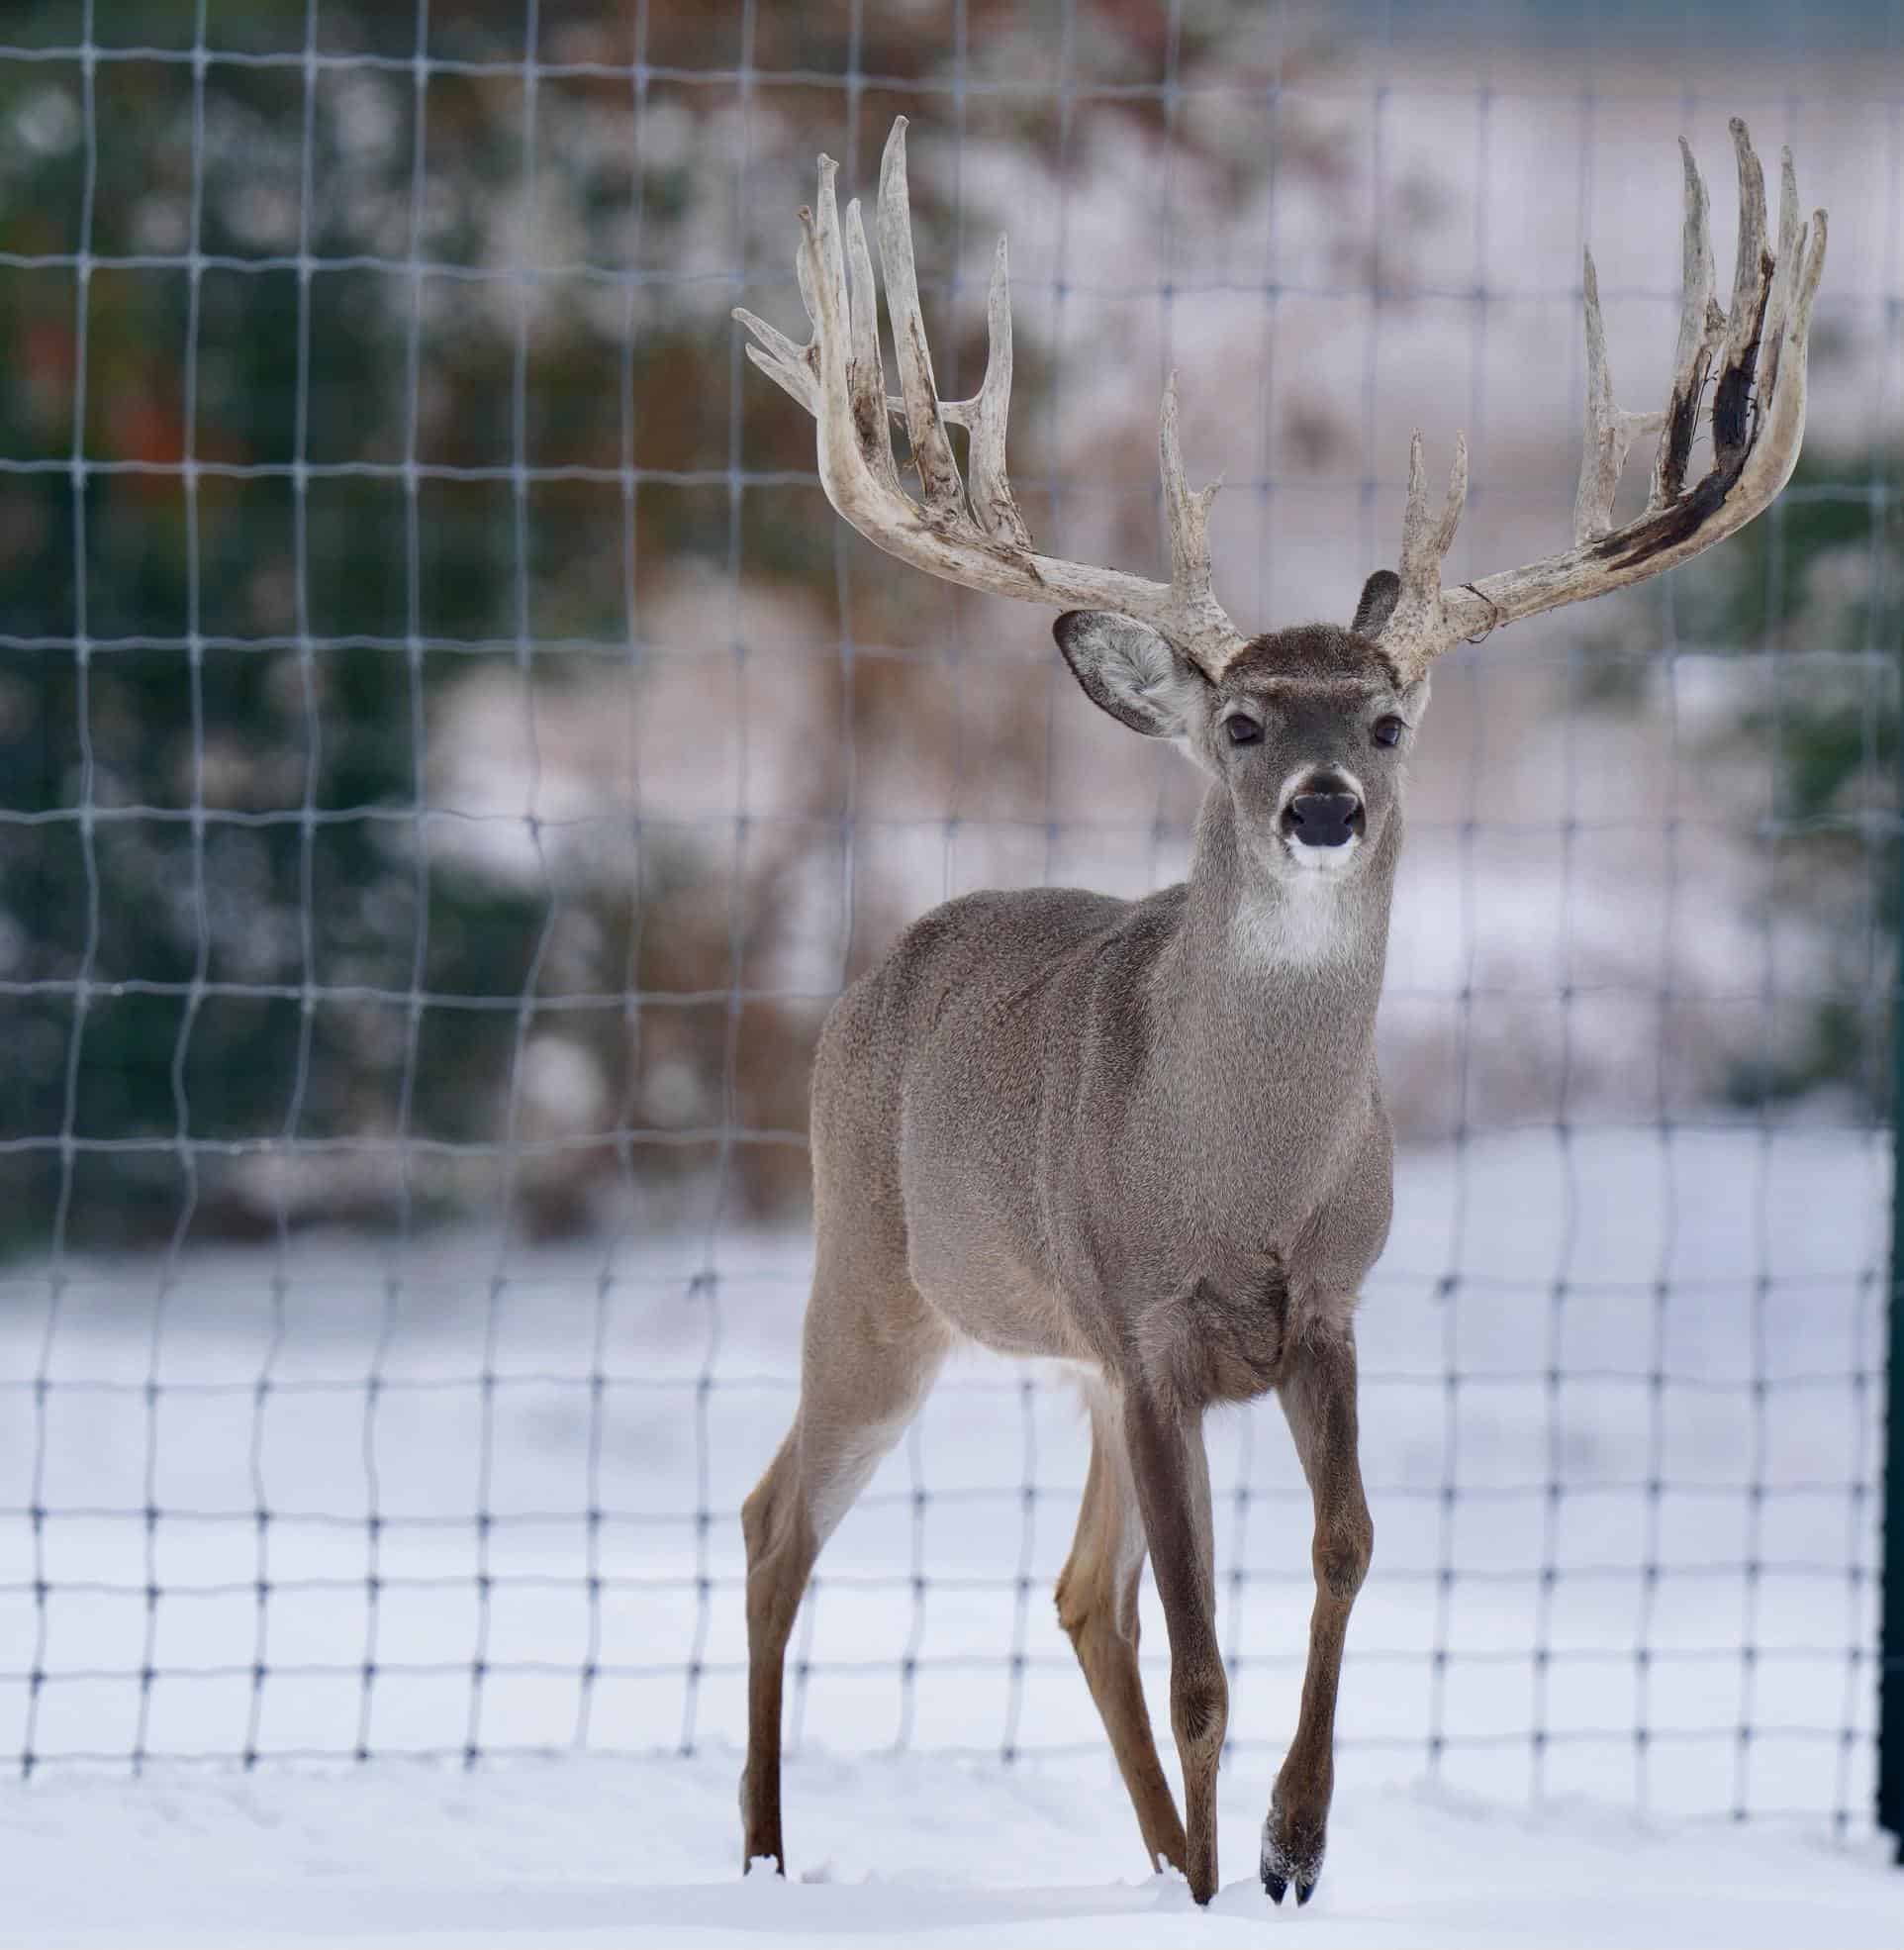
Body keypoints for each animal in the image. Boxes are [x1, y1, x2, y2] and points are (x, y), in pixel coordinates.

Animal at [731, 116, 1825, 1906]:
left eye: (1385, 721)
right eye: (1240, 721)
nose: (1322, 807)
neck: (1236, 1179)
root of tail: (881, 968)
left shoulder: (1323, 1307)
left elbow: (1342, 1552)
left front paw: (1288, 1846)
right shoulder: (1146, 1324)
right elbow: (1201, 1657)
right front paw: (1233, 1865)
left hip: (1063, 1363)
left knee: (1074, 1591)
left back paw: (1164, 1854)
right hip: (882, 1277)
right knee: (781, 1521)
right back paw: (762, 1856)